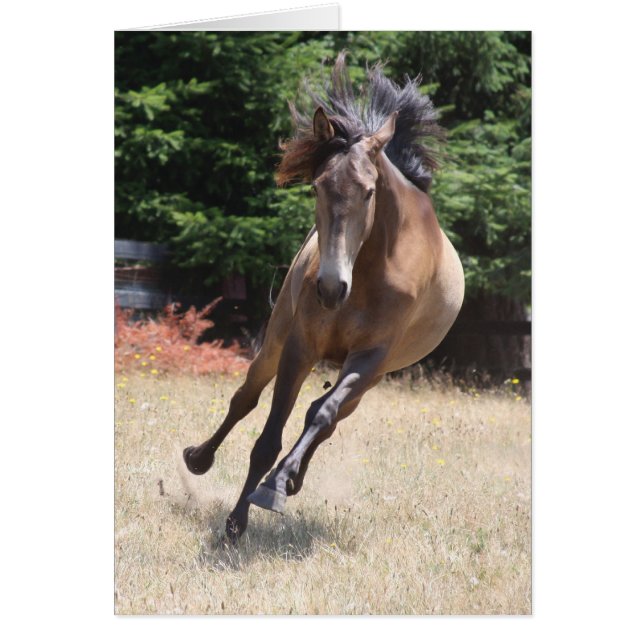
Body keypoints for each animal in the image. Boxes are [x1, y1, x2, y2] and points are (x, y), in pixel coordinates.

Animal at [183, 53, 465, 542]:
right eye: (316, 186)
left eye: (369, 192)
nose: (331, 288)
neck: (372, 270)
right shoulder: (300, 344)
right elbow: (267, 437)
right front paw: (238, 520)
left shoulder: (371, 358)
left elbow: (320, 415)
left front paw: (277, 485)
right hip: (276, 338)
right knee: (245, 398)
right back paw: (200, 458)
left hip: (371, 379)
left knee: (328, 417)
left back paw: (293, 477)